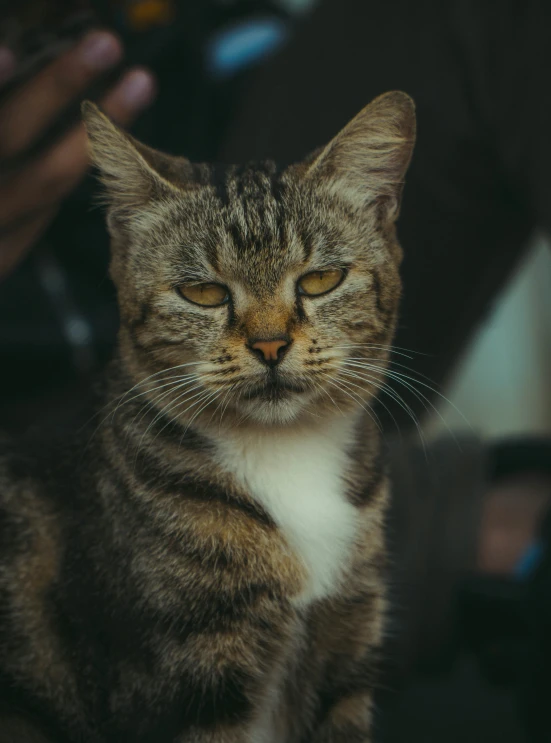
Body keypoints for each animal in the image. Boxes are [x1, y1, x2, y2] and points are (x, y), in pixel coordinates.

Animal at [0, 93, 414, 743]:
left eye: (321, 280)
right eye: (203, 294)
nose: (270, 345)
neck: (284, 454)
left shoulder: (346, 646)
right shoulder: (182, 678)